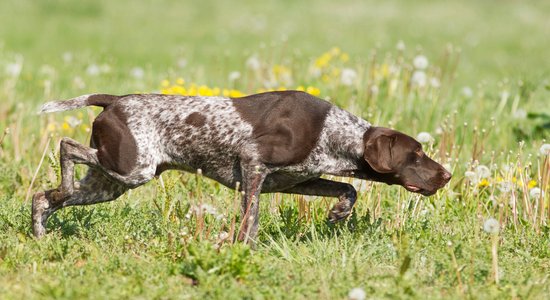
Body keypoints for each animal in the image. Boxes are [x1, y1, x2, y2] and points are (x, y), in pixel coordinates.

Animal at [33, 90, 452, 240]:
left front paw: (339, 212)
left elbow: (347, 187)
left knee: (43, 198)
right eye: (416, 154)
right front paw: (241, 247)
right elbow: (250, 220)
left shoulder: (294, 181)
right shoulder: (253, 164)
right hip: (132, 168)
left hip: (111, 182)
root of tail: (114, 100)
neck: (333, 132)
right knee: (66, 146)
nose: (447, 175)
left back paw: (40, 232)